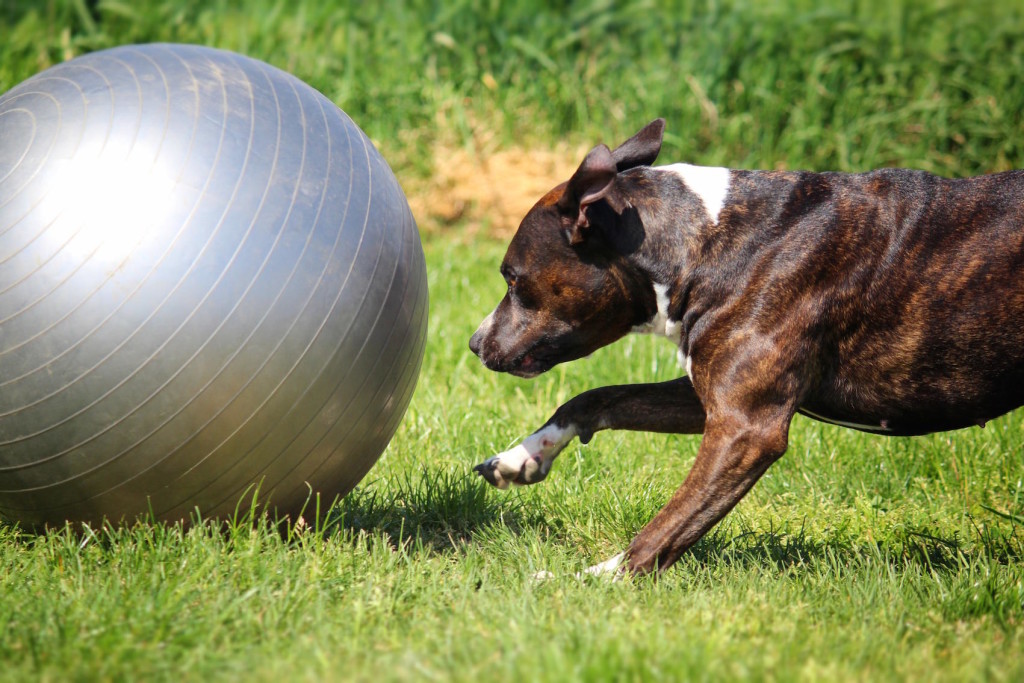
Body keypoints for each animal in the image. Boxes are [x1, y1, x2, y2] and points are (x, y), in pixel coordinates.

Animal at [468, 118, 1024, 577]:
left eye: (512, 278)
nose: (474, 343)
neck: (710, 239)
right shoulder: (711, 396)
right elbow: (596, 399)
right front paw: (520, 458)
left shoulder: (746, 429)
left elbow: (666, 530)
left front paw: (594, 580)